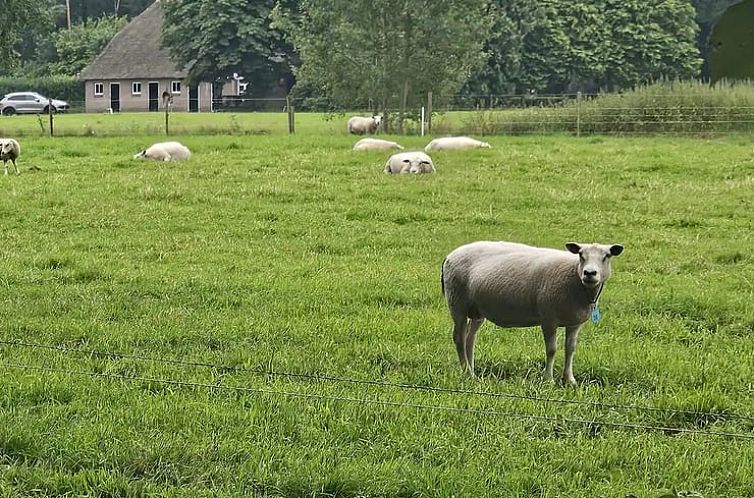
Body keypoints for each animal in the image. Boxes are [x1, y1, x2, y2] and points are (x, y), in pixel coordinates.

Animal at [440, 241, 624, 386]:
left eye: (607, 256)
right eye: (580, 255)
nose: (589, 273)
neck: (576, 281)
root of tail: (449, 256)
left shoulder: (575, 322)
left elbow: (570, 349)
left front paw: (569, 380)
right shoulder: (548, 318)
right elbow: (552, 350)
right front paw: (549, 379)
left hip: (477, 310)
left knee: (470, 339)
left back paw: (472, 371)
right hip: (457, 303)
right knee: (459, 338)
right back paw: (467, 372)